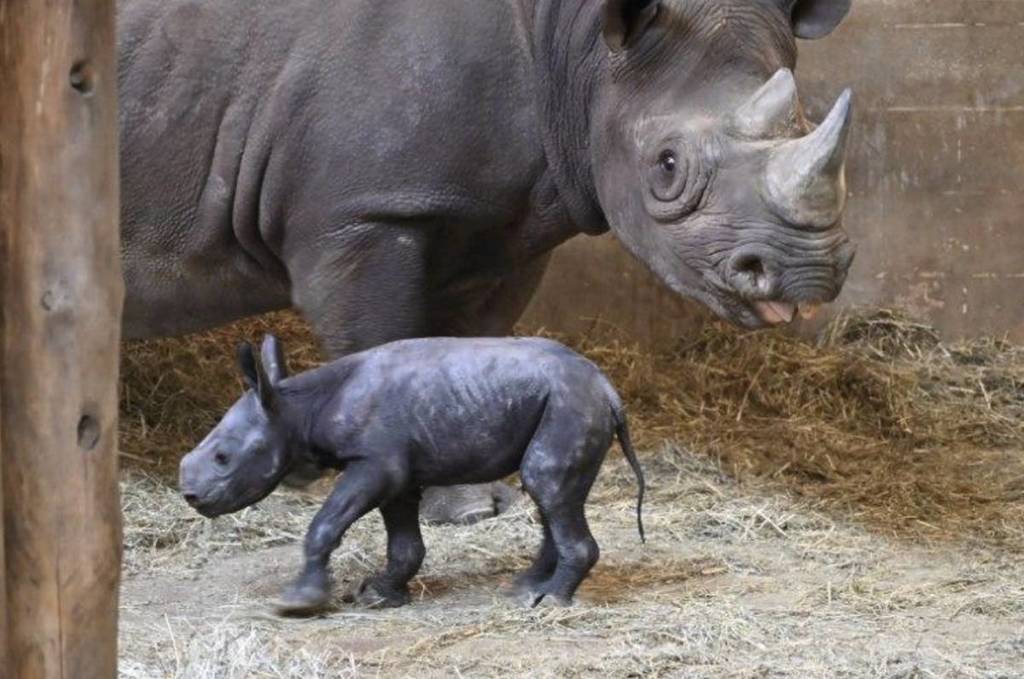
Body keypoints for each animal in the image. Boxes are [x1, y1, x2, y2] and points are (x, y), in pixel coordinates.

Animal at [119, 0, 856, 522]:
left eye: (806, 121)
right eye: (667, 166)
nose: (809, 273)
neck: (578, 47)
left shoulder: (501, 218)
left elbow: (473, 349)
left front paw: (469, 502)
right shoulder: (362, 213)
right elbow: (380, 342)